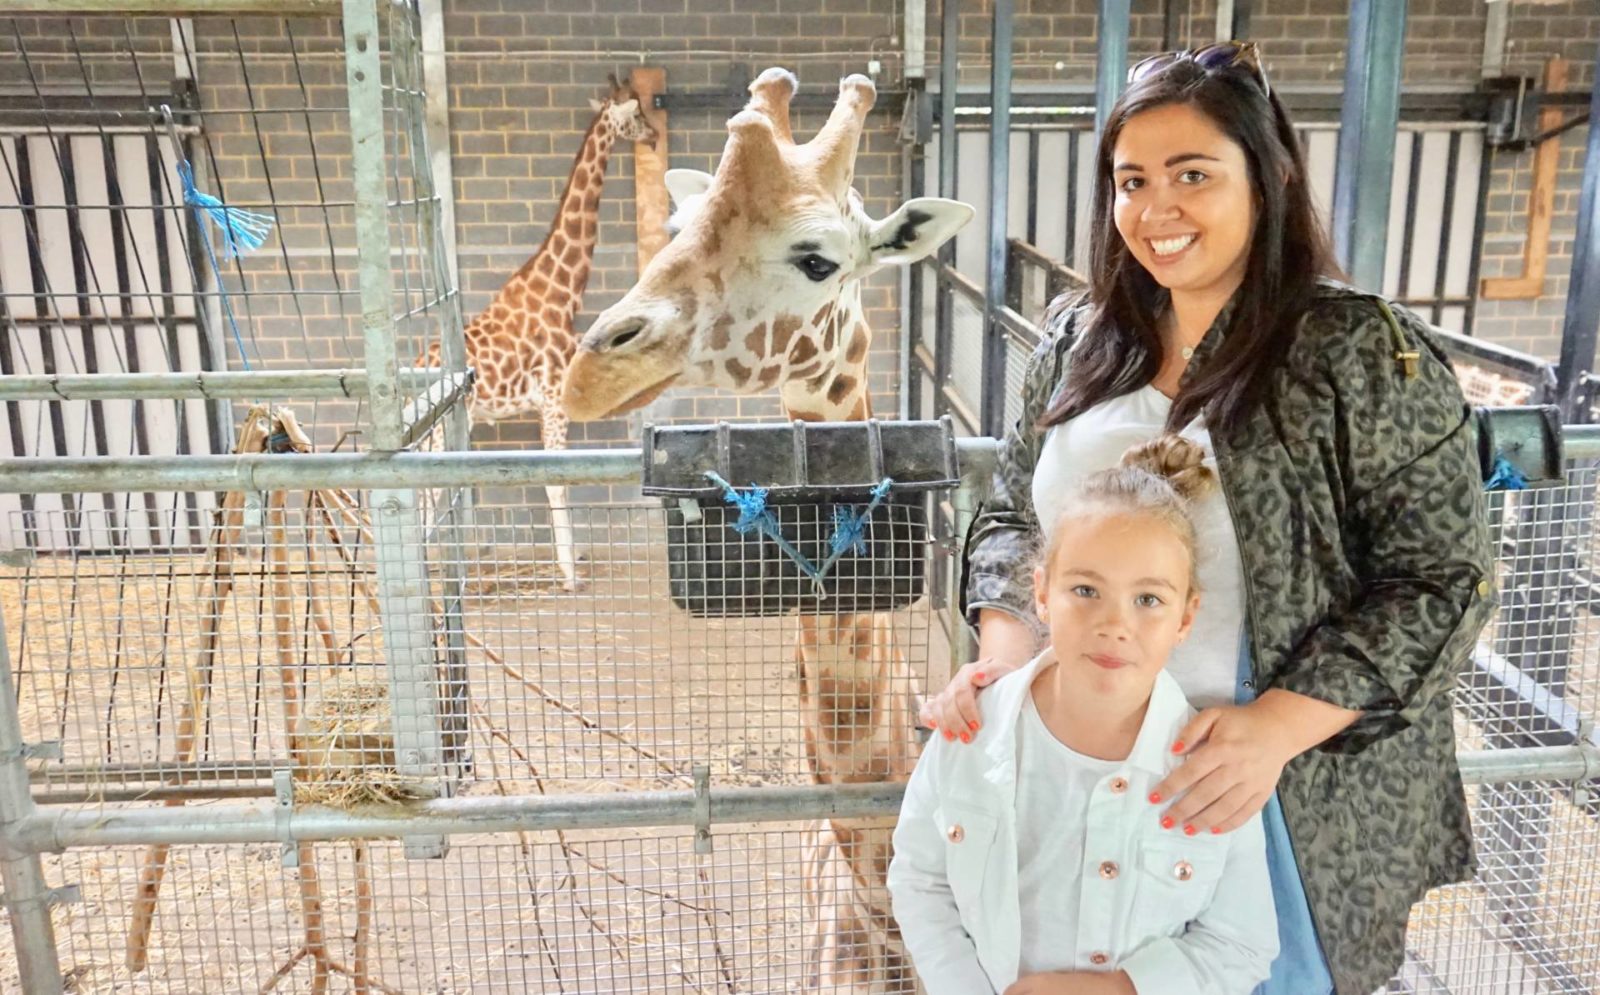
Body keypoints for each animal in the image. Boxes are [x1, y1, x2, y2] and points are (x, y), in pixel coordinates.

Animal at [422, 77, 659, 591]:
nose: (653, 136)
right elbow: (556, 481)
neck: (561, 294)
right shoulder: (552, 400)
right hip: (445, 428)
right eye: (636, 114)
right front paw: (570, 577)